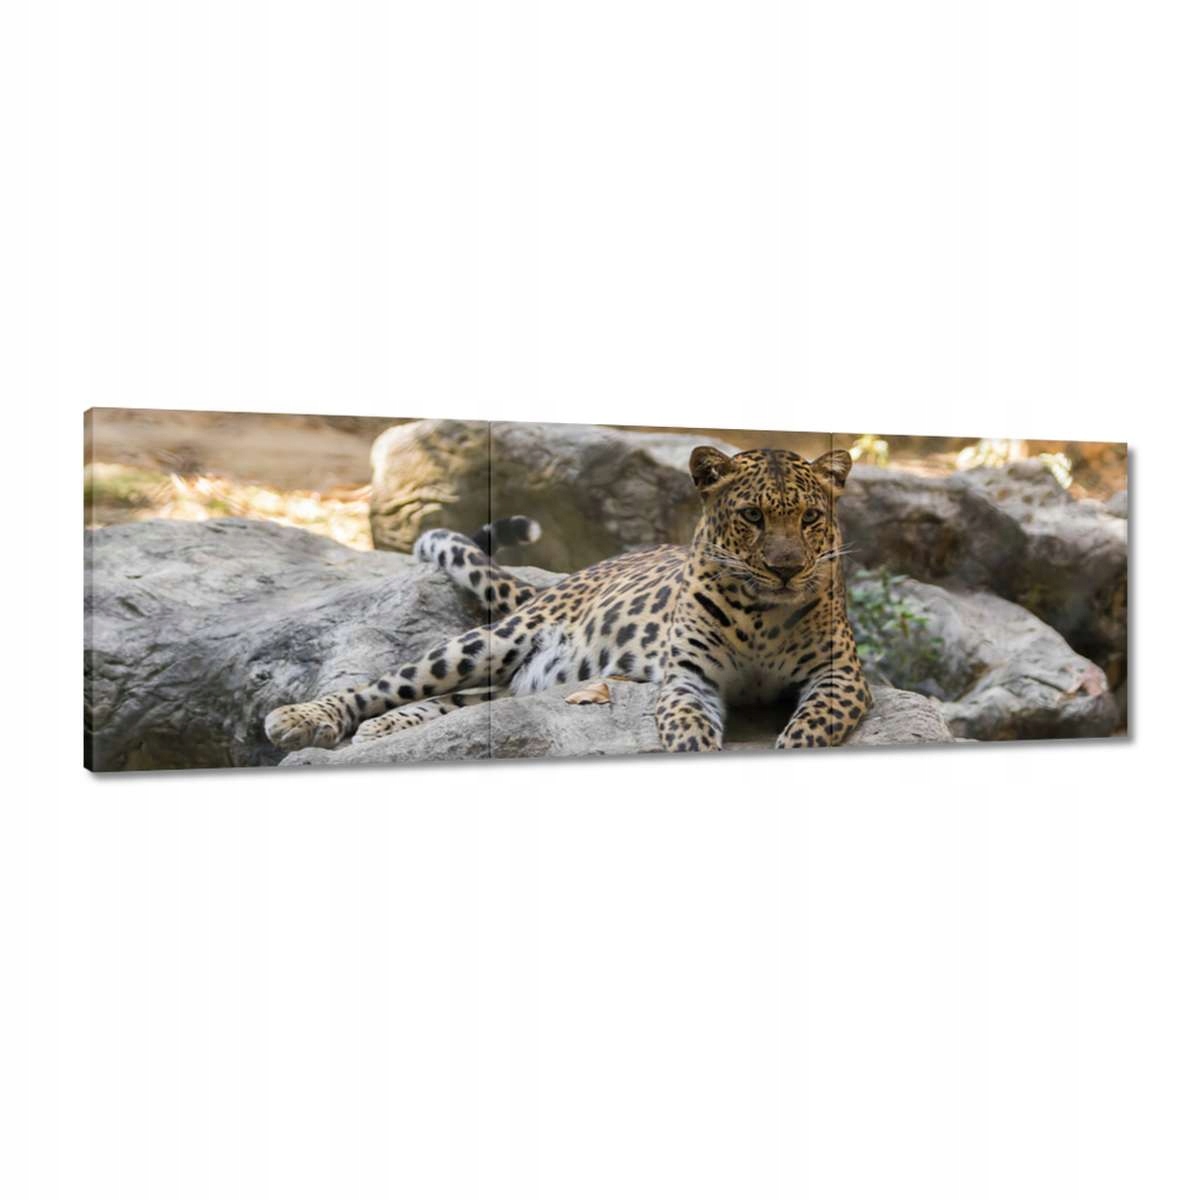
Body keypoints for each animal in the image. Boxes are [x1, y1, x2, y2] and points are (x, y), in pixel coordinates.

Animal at [264, 445, 870, 754]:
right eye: (752, 516)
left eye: (810, 518)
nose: (787, 569)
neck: (762, 614)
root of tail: (567, 579)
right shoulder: (688, 678)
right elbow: (686, 724)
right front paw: (697, 745)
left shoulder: (841, 678)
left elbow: (813, 725)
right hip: (489, 642)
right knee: (387, 683)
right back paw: (303, 718)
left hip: (522, 681)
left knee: (464, 701)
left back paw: (387, 728)